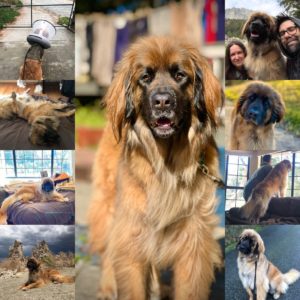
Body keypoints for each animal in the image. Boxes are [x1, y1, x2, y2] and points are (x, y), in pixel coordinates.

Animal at [88, 36, 224, 298]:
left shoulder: (191, 240)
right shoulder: (132, 235)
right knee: (108, 249)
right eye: (145, 77)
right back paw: (107, 286)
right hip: (109, 207)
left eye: (180, 75)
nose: (162, 101)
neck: (168, 164)